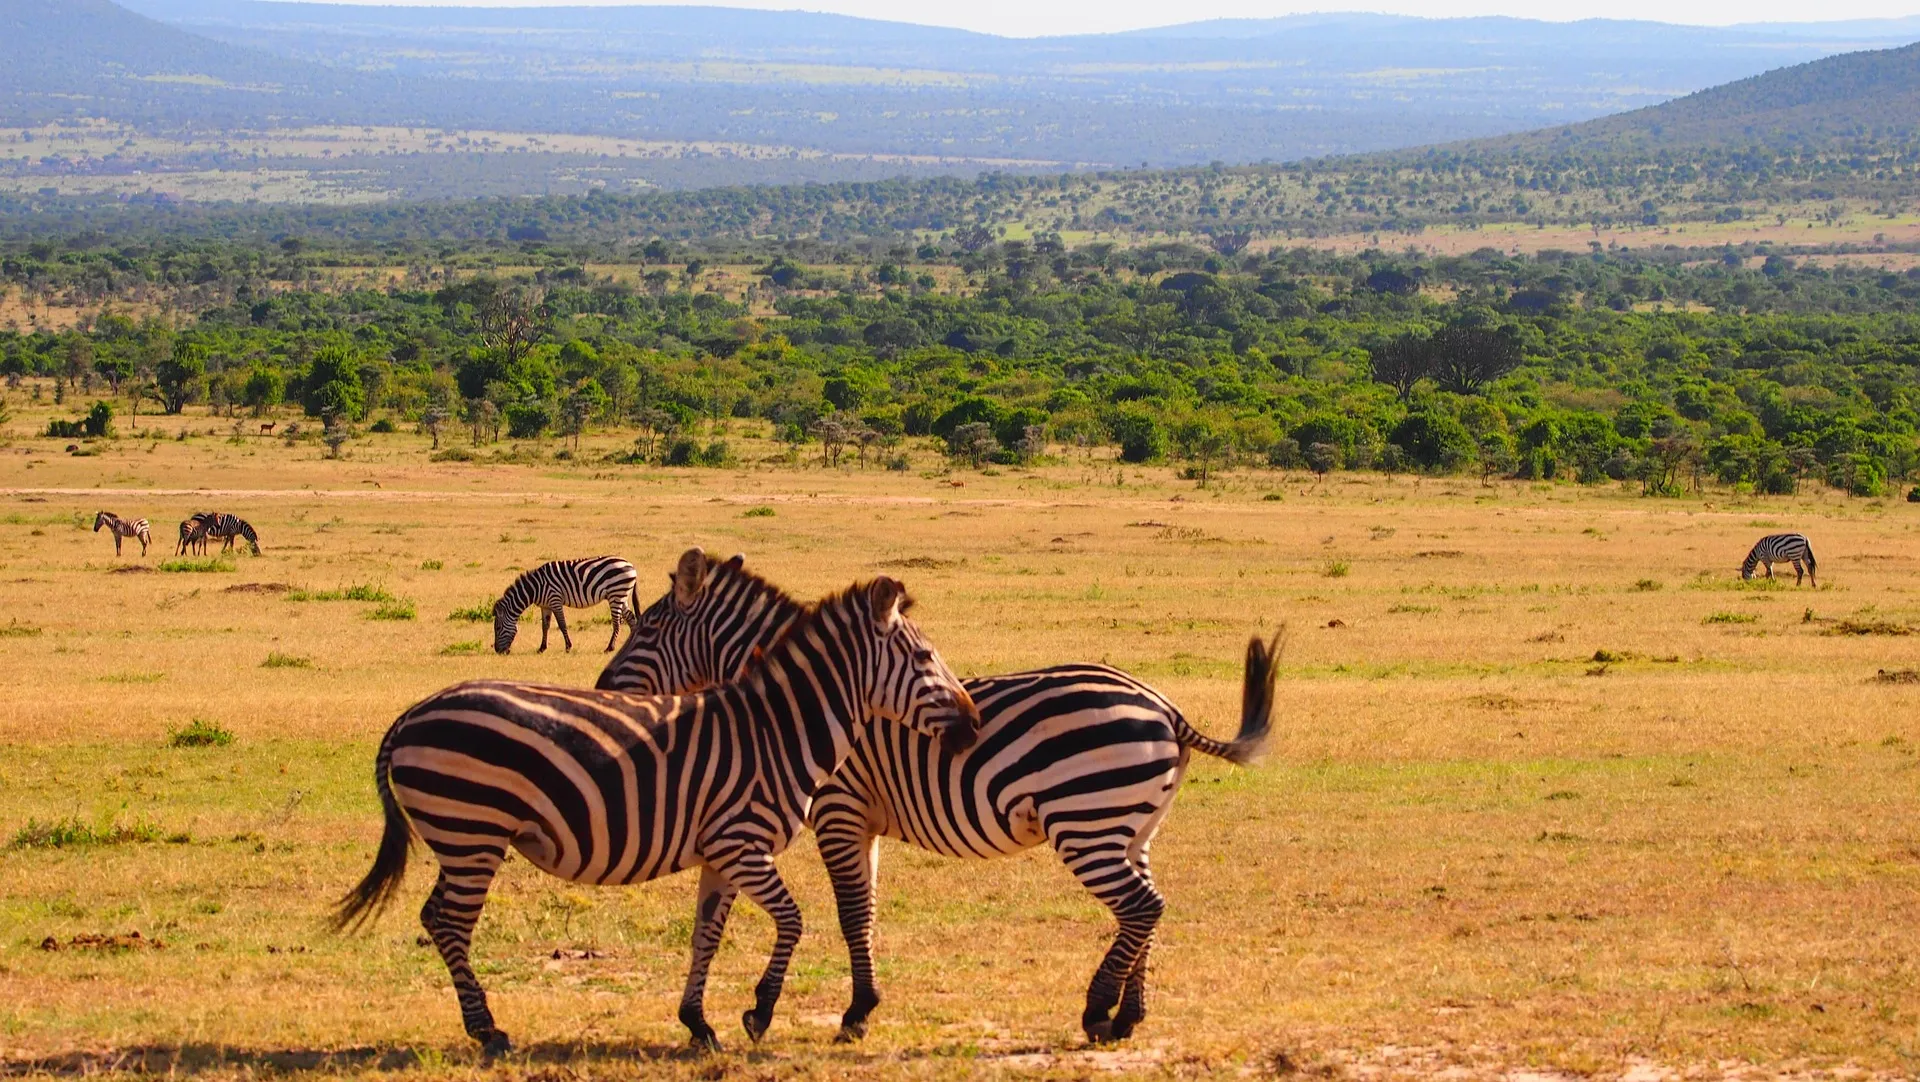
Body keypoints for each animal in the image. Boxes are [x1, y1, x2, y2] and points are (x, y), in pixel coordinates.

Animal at [330, 579, 983, 1051]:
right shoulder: (743, 844)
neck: (776, 731)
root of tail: (412, 714)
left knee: (436, 917)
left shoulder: (722, 855)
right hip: (473, 834)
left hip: (464, 839)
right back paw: (488, 1031)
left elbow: (706, 935)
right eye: (925, 656)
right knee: (449, 923)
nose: (975, 727)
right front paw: (759, 1011)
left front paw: (698, 1023)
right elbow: (794, 922)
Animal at [491, 556, 641, 652]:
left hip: (616, 594)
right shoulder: (545, 606)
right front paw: (542, 648)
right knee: (631, 618)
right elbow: (545, 626)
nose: (498, 651)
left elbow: (562, 624)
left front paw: (568, 646)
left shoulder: (555, 600)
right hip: (621, 595)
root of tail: (631, 565)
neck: (536, 588)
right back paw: (631, 644)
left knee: (617, 622)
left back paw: (610, 648)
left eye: (497, 628)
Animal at [595, 552, 1290, 1043]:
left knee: (1141, 906)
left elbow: (852, 913)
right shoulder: (858, 820)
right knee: (1144, 908)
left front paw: (852, 1013)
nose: (601, 686)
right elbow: (866, 910)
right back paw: (1128, 1017)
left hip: (1086, 823)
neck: (804, 703)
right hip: (1132, 827)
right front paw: (859, 1006)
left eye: (648, 627)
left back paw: (1097, 1012)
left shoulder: (839, 811)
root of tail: (1165, 708)